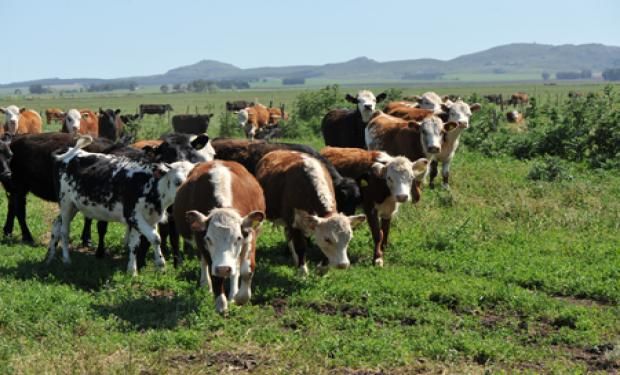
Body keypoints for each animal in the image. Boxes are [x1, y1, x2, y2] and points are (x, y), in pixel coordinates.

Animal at [47, 136, 189, 276]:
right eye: (177, 182)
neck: (150, 184)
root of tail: (68, 152)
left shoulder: (148, 218)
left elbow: (135, 244)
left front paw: (132, 271)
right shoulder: (132, 215)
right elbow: (155, 238)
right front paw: (161, 264)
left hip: (74, 206)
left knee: (56, 223)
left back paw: (50, 256)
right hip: (65, 203)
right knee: (64, 231)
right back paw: (66, 260)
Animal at [173, 161, 266, 314]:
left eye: (238, 238)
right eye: (209, 239)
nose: (223, 269)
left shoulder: (250, 235)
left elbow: (246, 271)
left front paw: (240, 297)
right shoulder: (201, 239)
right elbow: (215, 275)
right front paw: (221, 304)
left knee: (235, 267)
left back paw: (233, 293)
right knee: (204, 262)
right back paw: (206, 285)